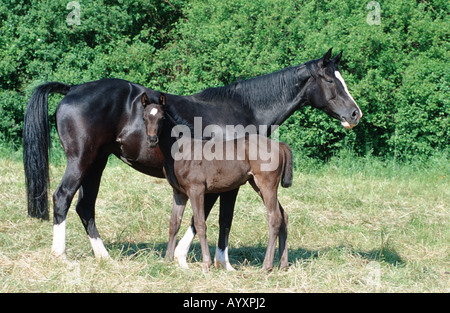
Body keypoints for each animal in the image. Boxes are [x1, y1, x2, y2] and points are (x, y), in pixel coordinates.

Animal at [142, 92, 294, 270]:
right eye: (144, 117)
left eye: (162, 118)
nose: (152, 140)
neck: (181, 149)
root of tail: (279, 145)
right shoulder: (179, 193)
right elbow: (174, 223)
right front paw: (167, 260)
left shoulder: (196, 190)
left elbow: (200, 223)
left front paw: (206, 264)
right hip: (258, 185)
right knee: (283, 215)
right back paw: (283, 264)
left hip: (267, 185)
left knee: (274, 217)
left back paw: (266, 266)